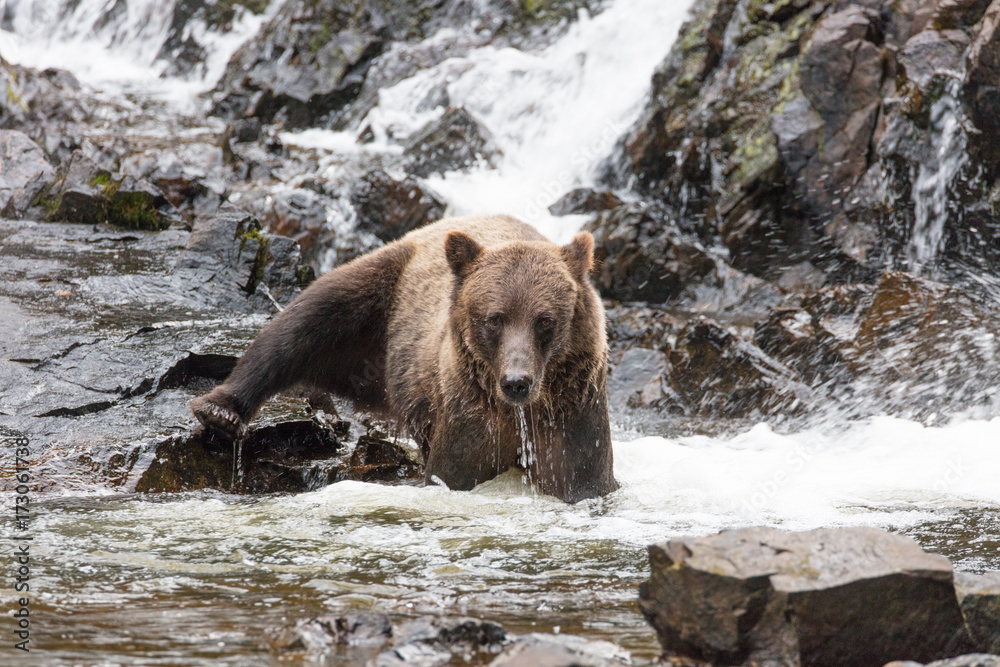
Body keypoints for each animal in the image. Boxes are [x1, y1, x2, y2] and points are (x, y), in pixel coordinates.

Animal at [189, 217, 616, 504]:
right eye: (494, 318)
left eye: (545, 320)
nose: (516, 381)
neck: (519, 415)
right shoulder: (471, 418)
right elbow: (453, 473)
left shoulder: (570, 414)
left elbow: (583, 479)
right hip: (380, 299)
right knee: (305, 321)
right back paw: (221, 410)